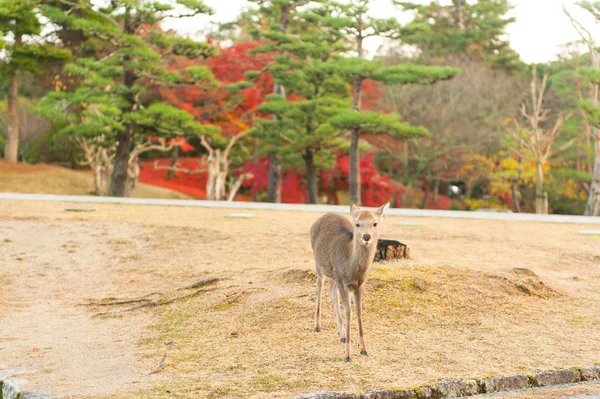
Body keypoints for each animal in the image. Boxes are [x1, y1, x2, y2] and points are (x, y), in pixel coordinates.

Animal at [310, 203, 390, 362]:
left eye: (375, 223)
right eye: (357, 224)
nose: (366, 236)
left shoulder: (359, 285)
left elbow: (358, 311)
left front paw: (363, 349)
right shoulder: (343, 283)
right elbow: (349, 312)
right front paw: (347, 355)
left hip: (334, 275)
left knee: (331, 292)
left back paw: (341, 334)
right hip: (319, 264)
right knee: (319, 287)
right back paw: (317, 326)